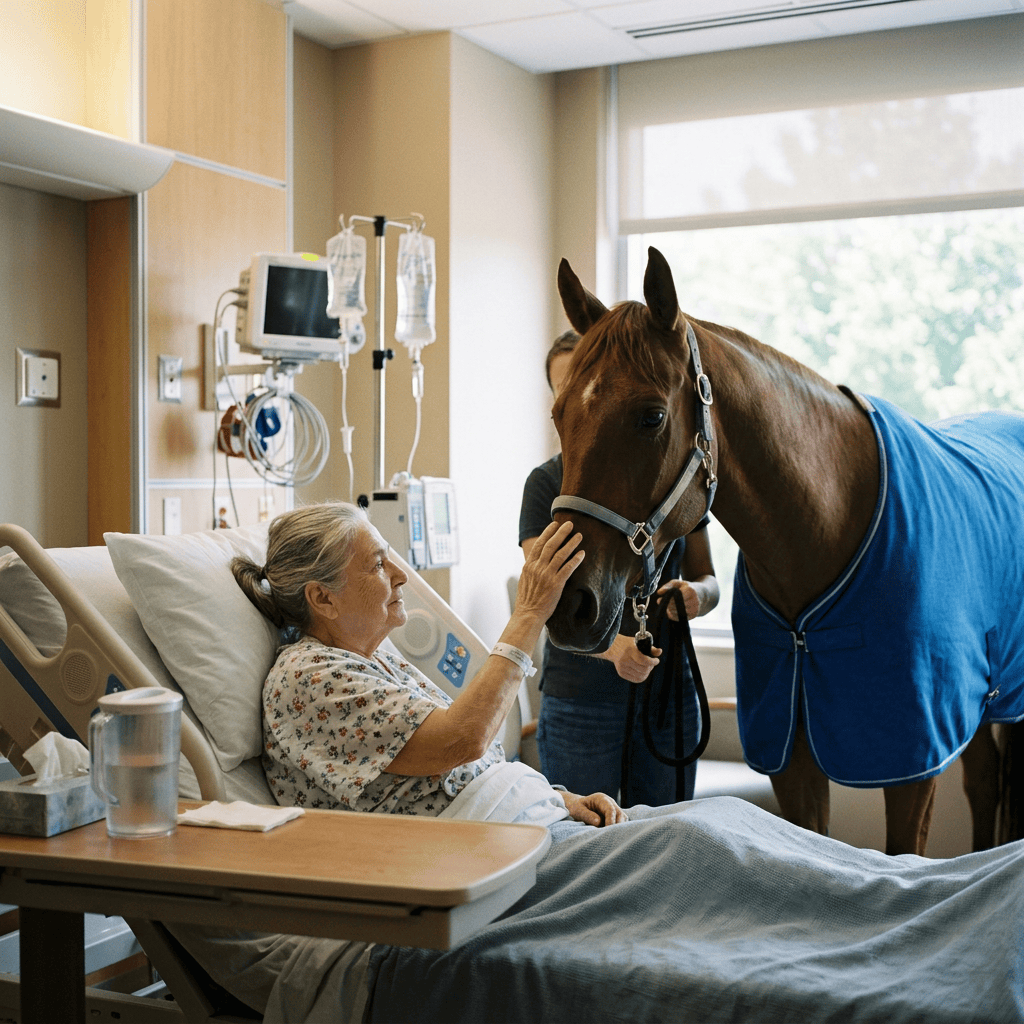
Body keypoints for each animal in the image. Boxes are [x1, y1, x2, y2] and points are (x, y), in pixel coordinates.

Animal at [546, 245, 1024, 856]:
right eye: (560, 414)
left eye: (651, 416)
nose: (569, 604)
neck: (823, 531)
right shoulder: (791, 751)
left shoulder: (915, 760)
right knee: (984, 781)